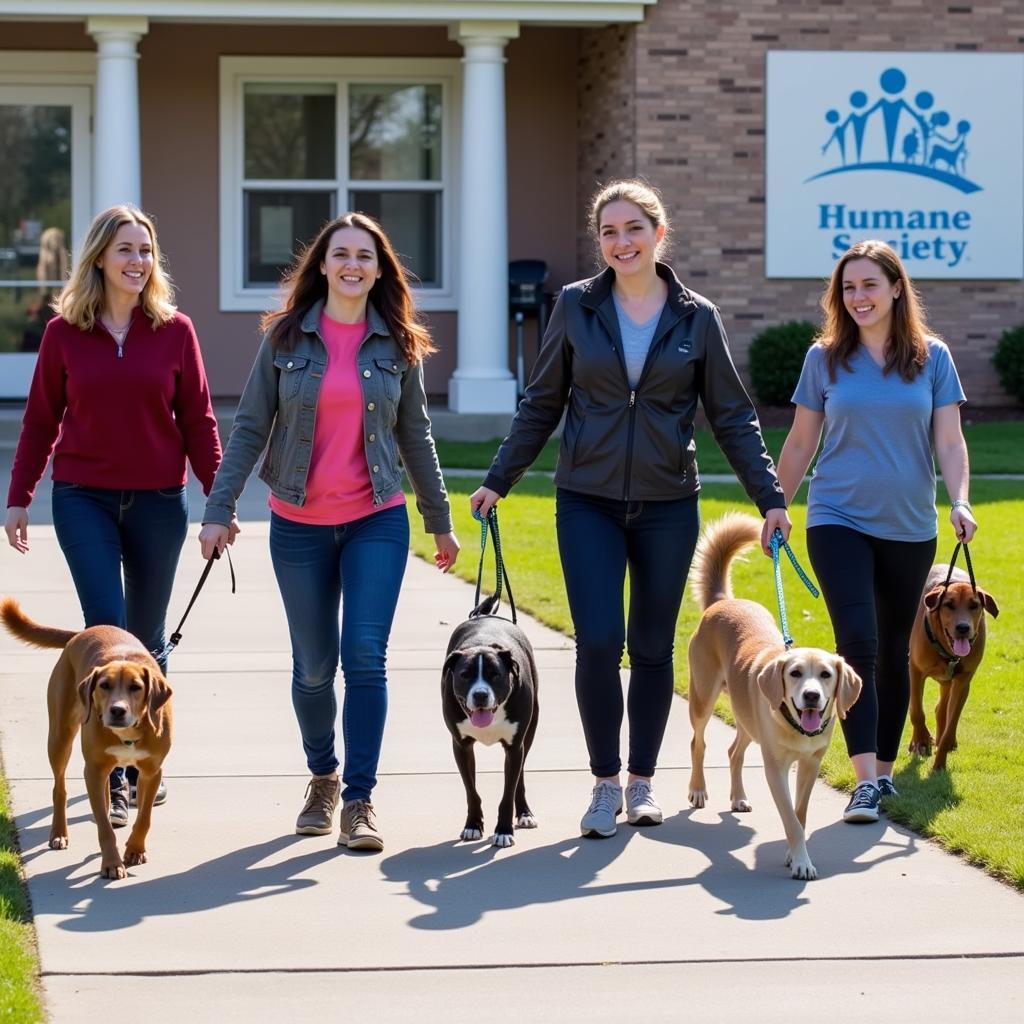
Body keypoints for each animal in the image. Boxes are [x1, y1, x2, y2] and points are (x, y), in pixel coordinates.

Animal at [0, 598, 172, 880]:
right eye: (104, 685)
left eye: (136, 687)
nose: (117, 710)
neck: (129, 732)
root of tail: (80, 635)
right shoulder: (92, 769)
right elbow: (103, 826)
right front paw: (111, 862)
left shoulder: (151, 771)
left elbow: (144, 817)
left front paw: (135, 849)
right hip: (60, 738)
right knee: (60, 788)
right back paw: (59, 833)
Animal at [442, 593, 540, 847]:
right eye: (465, 675)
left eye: (495, 675)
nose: (480, 694)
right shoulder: (461, 746)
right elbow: (471, 791)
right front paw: (473, 825)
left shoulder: (515, 747)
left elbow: (508, 792)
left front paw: (504, 831)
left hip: (530, 731)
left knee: (520, 775)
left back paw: (524, 813)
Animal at [684, 516, 860, 884]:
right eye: (795, 672)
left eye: (826, 674)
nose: (811, 696)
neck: (798, 730)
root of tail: (722, 601)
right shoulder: (775, 768)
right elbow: (791, 820)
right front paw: (802, 861)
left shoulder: (810, 765)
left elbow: (801, 814)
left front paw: (795, 855)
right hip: (702, 698)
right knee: (699, 743)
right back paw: (698, 789)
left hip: (747, 718)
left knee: (734, 751)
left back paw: (738, 797)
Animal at [909, 565, 995, 770]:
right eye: (949, 605)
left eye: (974, 605)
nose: (963, 627)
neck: (949, 653)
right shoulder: (915, 670)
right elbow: (916, 711)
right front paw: (921, 740)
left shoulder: (963, 682)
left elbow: (950, 722)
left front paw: (940, 762)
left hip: (949, 682)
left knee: (941, 710)